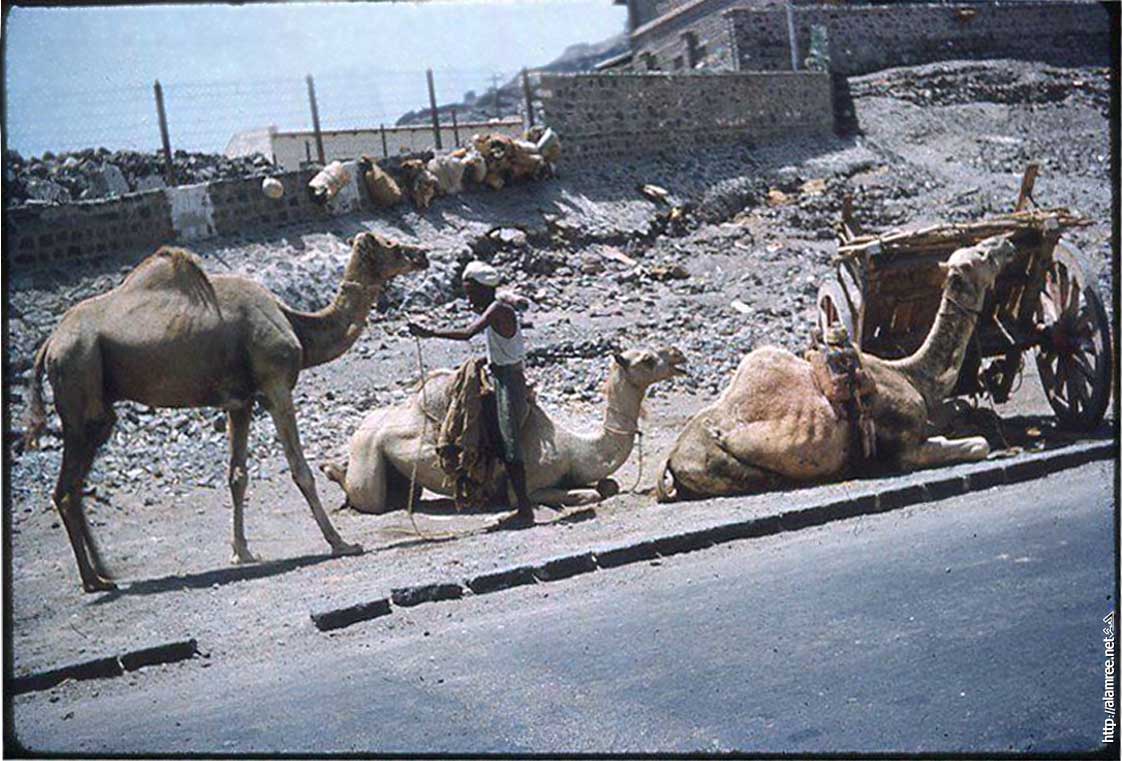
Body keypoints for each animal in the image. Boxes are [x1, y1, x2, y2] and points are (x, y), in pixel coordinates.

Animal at [25, 232, 428, 592]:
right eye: (392, 244)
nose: (422, 254)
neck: (296, 323)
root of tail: (49, 345)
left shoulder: (241, 402)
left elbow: (237, 476)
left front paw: (242, 553)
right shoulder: (275, 386)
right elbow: (300, 470)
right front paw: (341, 543)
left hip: (92, 398)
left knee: (72, 487)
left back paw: (103, 574)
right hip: (80, 380)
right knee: (66, 489)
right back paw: (93, 581)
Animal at [322, 347, 687, 513]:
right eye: (647, 360)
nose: (678, 356)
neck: (575, 449)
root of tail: (363, 425)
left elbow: (608, 484)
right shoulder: (526, 485)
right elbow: (590, 493)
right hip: (367, 449)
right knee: (367, 498)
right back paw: (330, 469)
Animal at [657, 235, 1016, 501]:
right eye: (983, 253)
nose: (1007, 242)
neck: (910, 375)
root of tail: (671, 457)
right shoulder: (905, 448)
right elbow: (979, 444)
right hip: (725, 465)